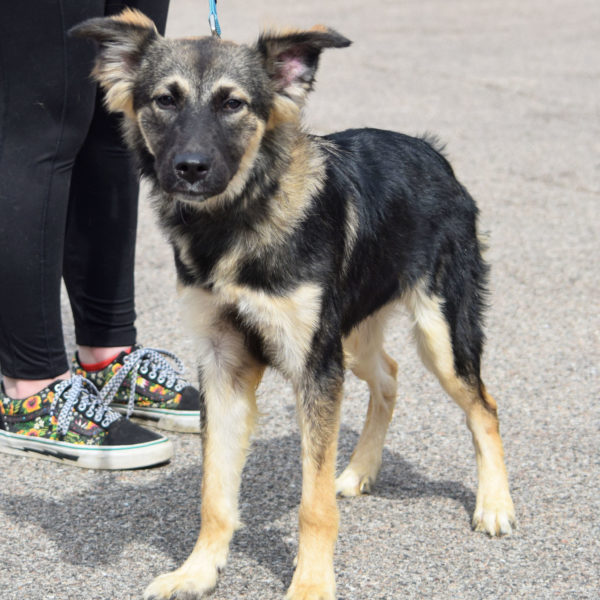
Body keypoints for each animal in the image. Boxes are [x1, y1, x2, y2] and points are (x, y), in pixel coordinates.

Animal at [74, 10, 516, 600]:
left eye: (233, 104)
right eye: (165, 100)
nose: (190, 168)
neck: (237, 219)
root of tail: (431, 151)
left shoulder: (314, 367)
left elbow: (314, 502)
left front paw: (309, 584)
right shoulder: (225, 366)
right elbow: (215, 493)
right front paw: (198, 570)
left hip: (438, 334)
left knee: (482, 406)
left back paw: (494, 504)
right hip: (352, 336)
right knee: (389, 376)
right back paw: (358, 470)